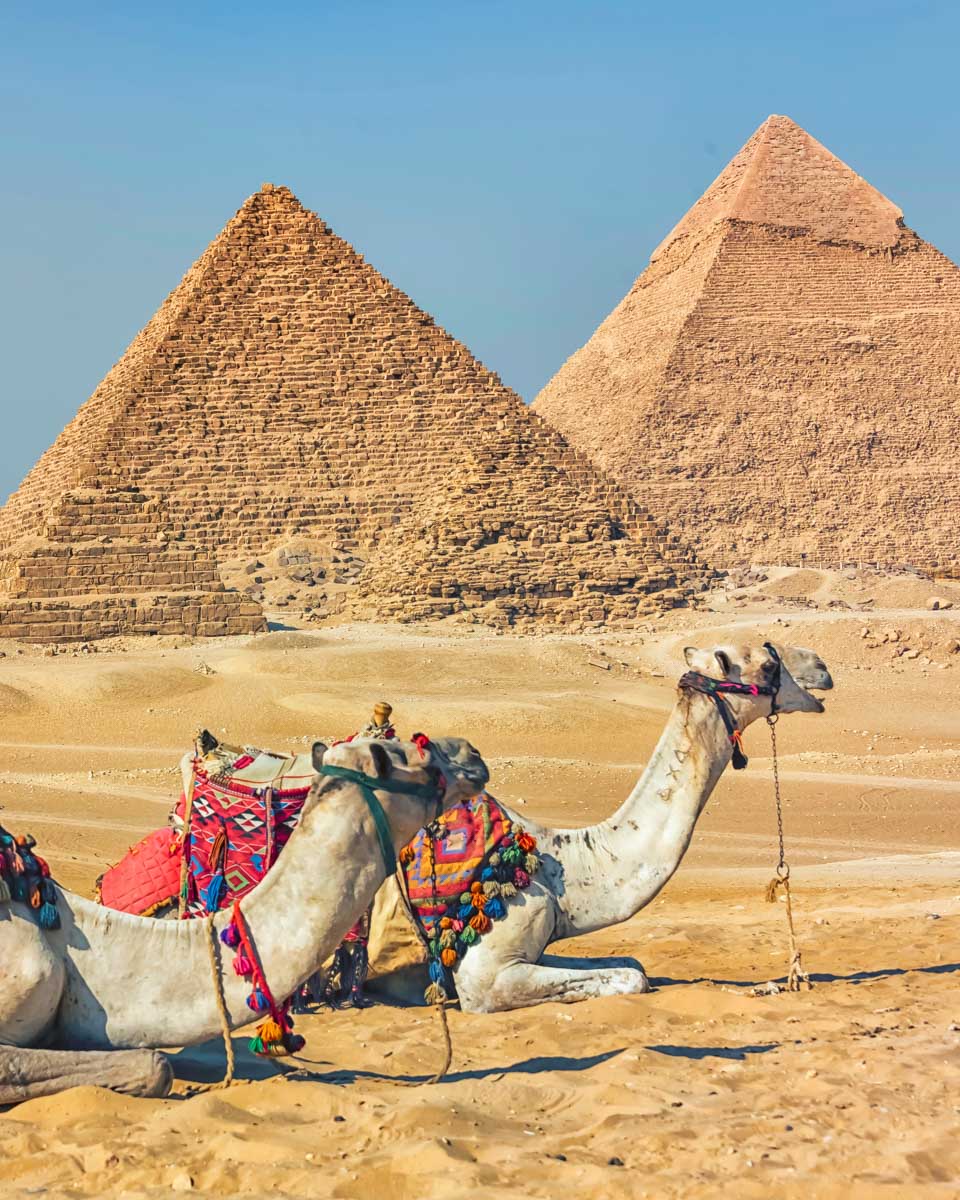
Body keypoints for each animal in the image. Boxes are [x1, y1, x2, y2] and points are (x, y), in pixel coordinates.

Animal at [440, 640, 833, 1012]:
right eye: (766, 666)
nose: (821, 665)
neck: (560, 864)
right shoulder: (485, 976)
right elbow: (634, 977)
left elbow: (633, 963)